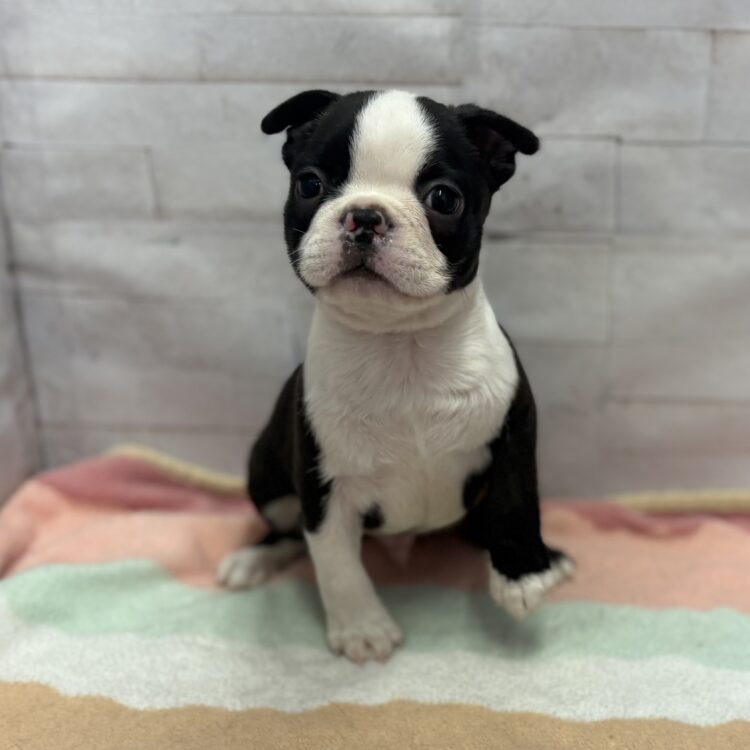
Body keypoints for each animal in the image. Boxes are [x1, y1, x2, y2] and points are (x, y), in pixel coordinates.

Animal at [218, 89, 574, 663]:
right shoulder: (324, 483)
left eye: (444, 199)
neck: (400, 345)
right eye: (310, 184)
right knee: (286, 530)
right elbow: (337, 563)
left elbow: (517, 500)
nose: (365, 216)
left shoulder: (514, 429)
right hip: (265, 474)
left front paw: (521, 574)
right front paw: (363, 630)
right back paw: (254, 559)